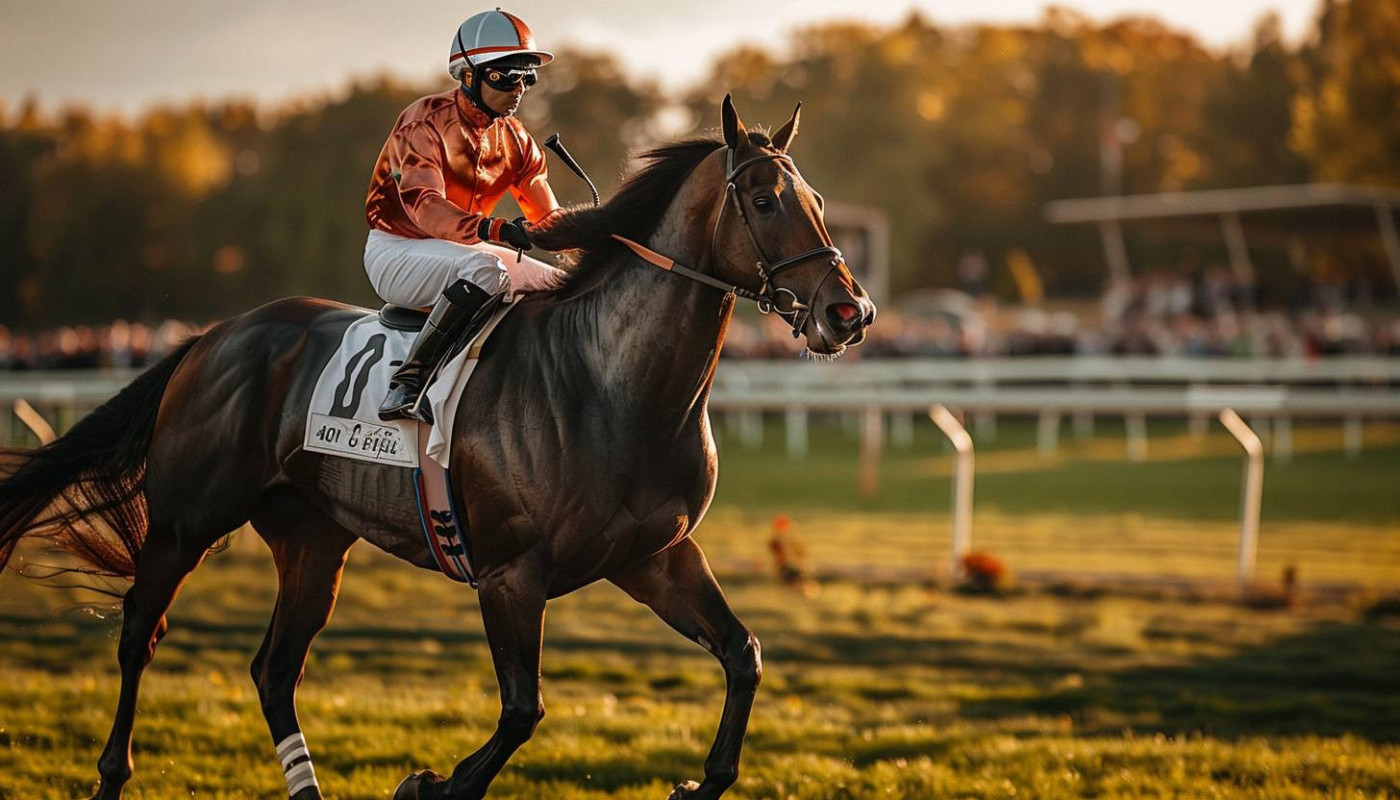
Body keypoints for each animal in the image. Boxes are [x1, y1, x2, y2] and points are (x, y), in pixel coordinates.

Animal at [0, 95, 875, 800]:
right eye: (762, 199)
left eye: (816, 199)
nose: (850, 312)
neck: (611, 382)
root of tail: (212, 335)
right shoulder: (509, 574)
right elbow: (522, 711)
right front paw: (429, 783)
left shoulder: (654, 555)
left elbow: (743, 654)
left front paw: (699, 781)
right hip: (187, 522)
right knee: (139, 633)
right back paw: (112, 773)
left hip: (313, 538)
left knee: (274, 670)